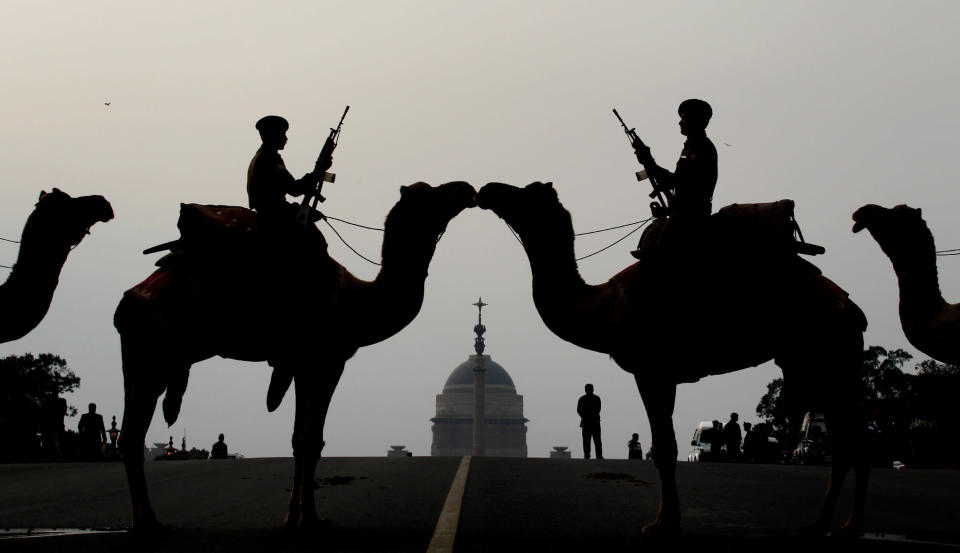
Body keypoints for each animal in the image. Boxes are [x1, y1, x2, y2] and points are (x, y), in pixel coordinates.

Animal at [116, 181, 476, 532]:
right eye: (431, 194)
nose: (466, 188)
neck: (359, 300)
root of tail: (131, 299)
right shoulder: (328, 360)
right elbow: (312, 440)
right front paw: (311, 518)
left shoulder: (301, 365)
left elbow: (298, 439)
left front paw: (295, 515)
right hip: (154, 355)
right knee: (134, 434)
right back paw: (149, 521)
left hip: (138, 354)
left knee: (130, 434)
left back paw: (144, 519)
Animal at [478, 183, 872, 536]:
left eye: (527, 194)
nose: (489, 189)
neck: (604, 306)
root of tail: (852, 308)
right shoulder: (659, 373)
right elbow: (664, 445)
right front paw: (667, 519)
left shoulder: (652, 369)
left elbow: (664, 448)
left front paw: (662, 523)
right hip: (817, 362)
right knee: (845, 440)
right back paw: (823, 523)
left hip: (832, 353)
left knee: (853, 439)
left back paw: (850, 524)